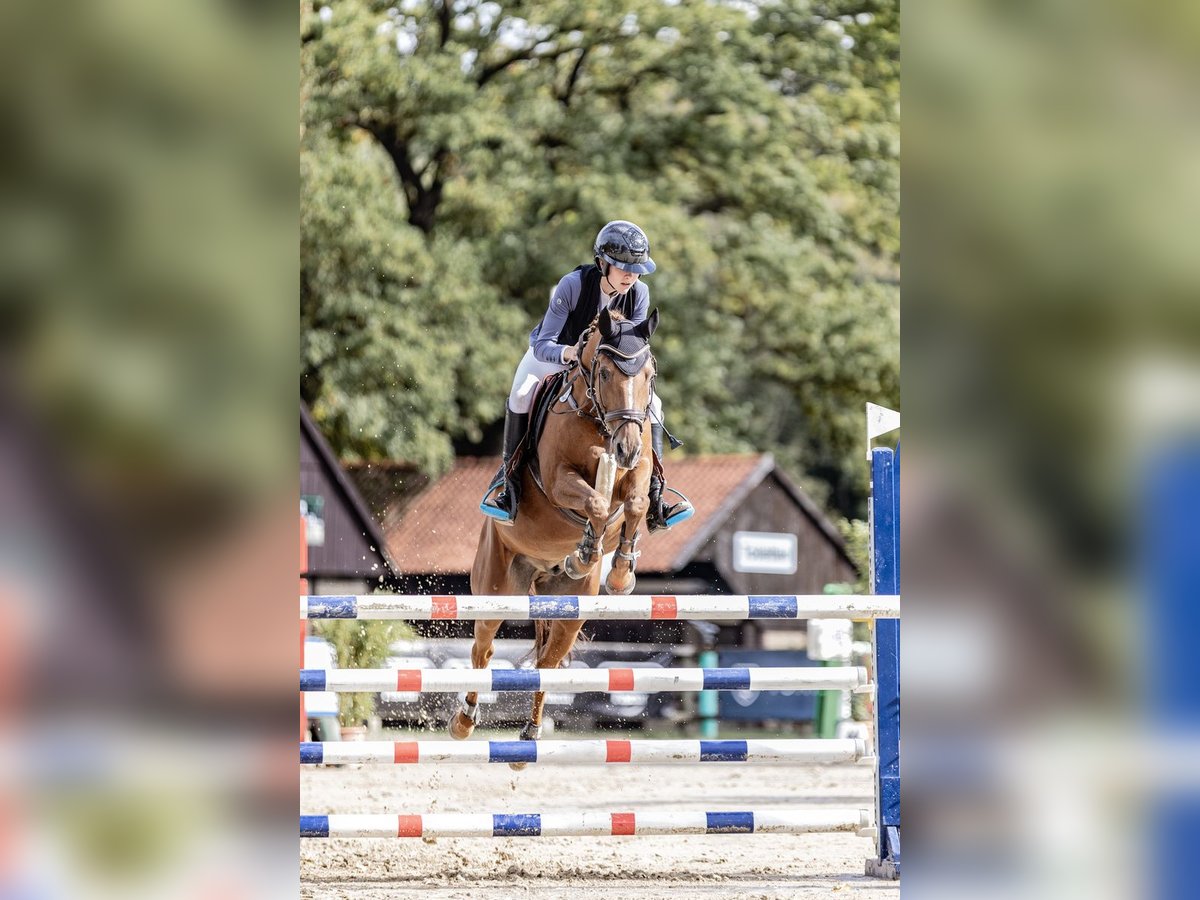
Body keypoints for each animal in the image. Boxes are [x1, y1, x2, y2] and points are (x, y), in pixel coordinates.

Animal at [450, 307, 660, 767]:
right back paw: (464, 721)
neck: (596, 421)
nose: (626, 447)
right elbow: (595, 501)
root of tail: (539, 574)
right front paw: (584, 552)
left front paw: (619, 573)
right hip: (496, 587)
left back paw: (528, 737)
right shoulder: (559, 480)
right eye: (604, 372)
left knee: (547, 663)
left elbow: (634, 502)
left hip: (570, 609)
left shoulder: (636, 472)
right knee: (482, 651)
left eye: (650, 375)